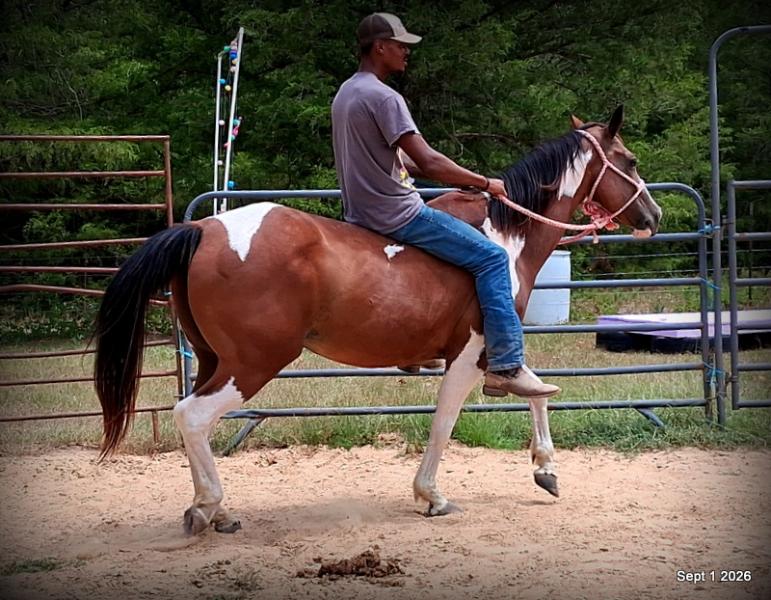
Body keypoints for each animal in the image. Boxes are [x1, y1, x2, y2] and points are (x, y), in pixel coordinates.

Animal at [94, 105, 662, 535]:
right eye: (629, 160)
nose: (653, 216)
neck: (506, 235)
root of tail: (201, 229)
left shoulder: (493, 354)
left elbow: (538, 393)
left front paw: (546, 469)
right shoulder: (471, 355)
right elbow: (447, 422)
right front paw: (431, 496)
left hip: (216, 359)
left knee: (193, 418)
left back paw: (218, 511)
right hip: (252, 363)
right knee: (191, 416)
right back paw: (207, 506)